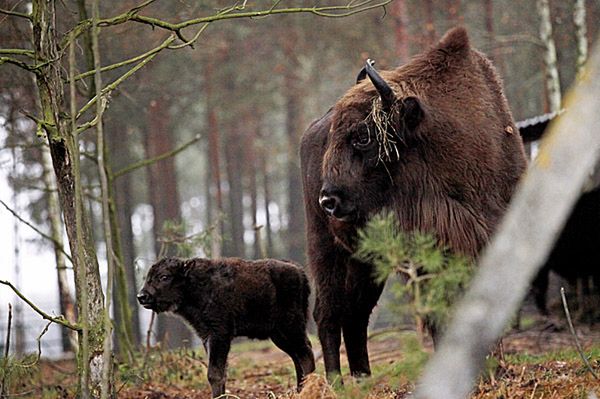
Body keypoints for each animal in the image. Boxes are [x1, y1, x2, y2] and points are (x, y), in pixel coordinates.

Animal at [136, 258, 314, 398]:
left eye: (164, 276)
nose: (142, 296)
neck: (194, 285)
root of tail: (299, 271)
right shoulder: (206, 336)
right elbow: (220, 372)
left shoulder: (219, 335)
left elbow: (214, 374)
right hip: (278, 334)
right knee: (297, 355)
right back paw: (300, 390)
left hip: (291, 326)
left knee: (305, 353)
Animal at [300, 28, 524, 382]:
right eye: (338, 137)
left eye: (363, 136)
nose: (329, 201)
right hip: (325, 247)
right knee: (329, 313)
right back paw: (336, 383)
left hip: (365, 259)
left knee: (355, 314)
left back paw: (363, 379)